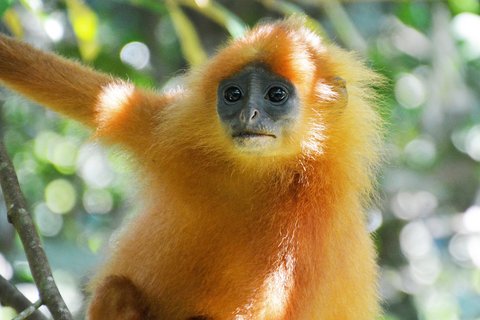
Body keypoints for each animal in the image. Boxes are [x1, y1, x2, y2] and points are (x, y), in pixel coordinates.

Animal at [0, 17, 382, 320]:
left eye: (276, 95)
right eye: (233, 95)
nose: (248, 114)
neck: (254, 174)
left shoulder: (314, 219)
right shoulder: (168, 135)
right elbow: (94, 98)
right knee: (115, 289)